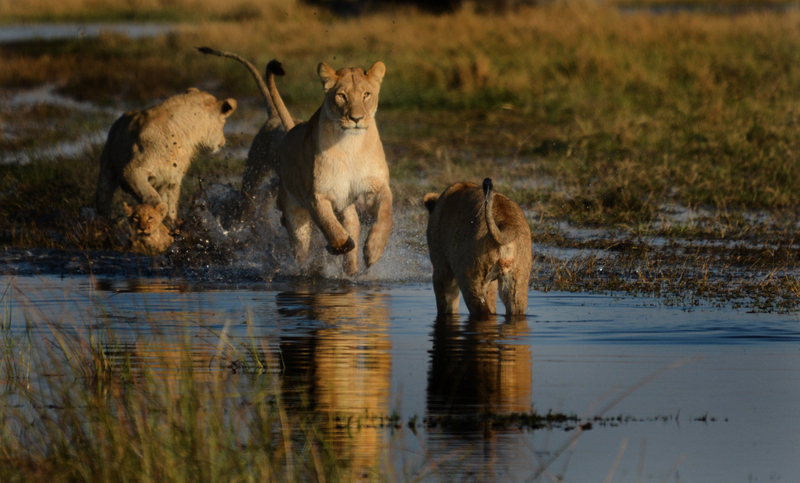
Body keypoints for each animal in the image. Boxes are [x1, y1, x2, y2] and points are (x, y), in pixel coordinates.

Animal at [95, 88, 236, 231]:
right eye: (224, 120)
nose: (222, 142)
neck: (183, 133)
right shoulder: (131, 171)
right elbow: (153, 198)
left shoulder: (171, 180)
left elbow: (171, 205)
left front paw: (173, 226)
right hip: (107, 169)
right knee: (103, 199)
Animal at [200, 49, 394, 278]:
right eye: (341, 96)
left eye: (366, 95)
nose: (356, 118)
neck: (351, 145)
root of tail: (285, 125)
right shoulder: (316, 196)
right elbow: (332, 229)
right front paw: (341, 245)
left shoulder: (377, 186)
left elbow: (385, 215)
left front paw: (373, 251)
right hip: (288, 208)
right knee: (299, 246)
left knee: (350, 225)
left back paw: (351, 269)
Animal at [424, 178, 532, 318]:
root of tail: (507, 223)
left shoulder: (441, 265)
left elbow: (447, 301)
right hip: (518, 278)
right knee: (515, 308)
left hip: (470, 275)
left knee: (481, 310)